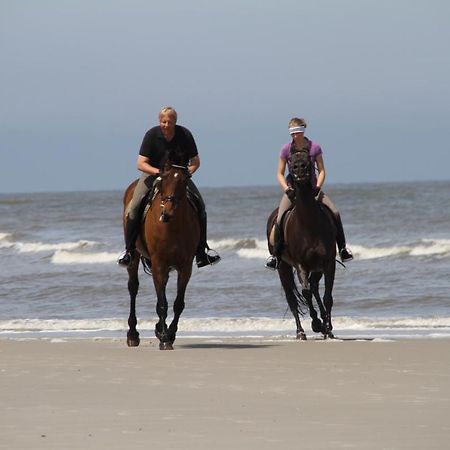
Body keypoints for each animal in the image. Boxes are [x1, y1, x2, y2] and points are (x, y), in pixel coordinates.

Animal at [123, 162, 200, 352]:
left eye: (184, 180)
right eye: (163, 179)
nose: (167, 213)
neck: (173, 226)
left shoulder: (185, 267)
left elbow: (178, 303)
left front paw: (168, 333)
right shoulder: (158, 263)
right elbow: (162, 303)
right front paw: (165, 338)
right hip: (135, 256)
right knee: (133, 288)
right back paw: (132, 335)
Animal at [266, 149, 336, 340]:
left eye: (309, 159)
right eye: (291, 161)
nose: (300, 169)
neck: (309, 223)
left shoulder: (328, 263)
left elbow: (327, 296)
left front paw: (327, 328)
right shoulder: (300, 265)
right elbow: (305, 294)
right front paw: (317, 324)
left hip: (317, 268)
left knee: (314, 287)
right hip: (283, 268)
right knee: (292, 298)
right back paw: (301, 332)